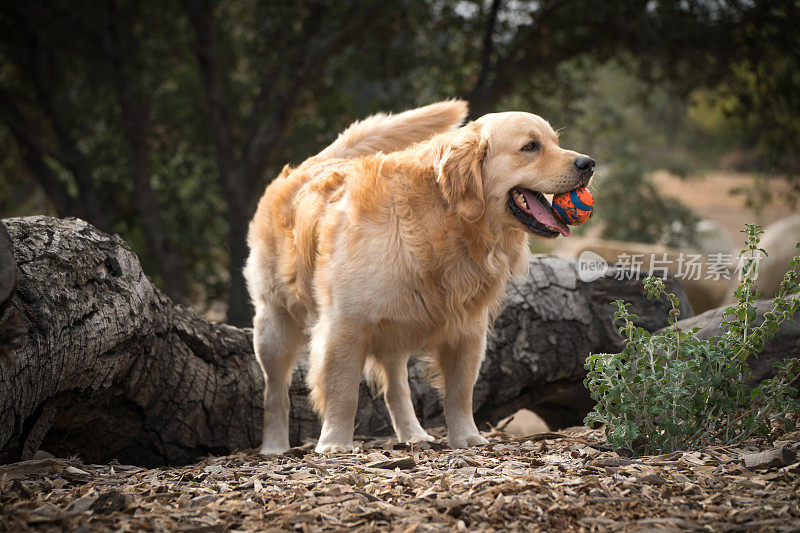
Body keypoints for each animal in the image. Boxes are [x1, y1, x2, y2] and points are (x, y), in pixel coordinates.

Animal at [247, 100, 596, 454]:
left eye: (555, 142)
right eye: (530, 146)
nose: (588, 163)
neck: (444, 217)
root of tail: (309, 163)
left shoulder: (468, 330)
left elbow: (460, 393)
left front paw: (466, 438)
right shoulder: (344, 325)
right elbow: (343, 392)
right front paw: (335, 444)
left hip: (393, 327)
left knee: (396, 386)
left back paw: (413, 434)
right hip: (275, 324)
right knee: (275, 390)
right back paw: (274, 445)